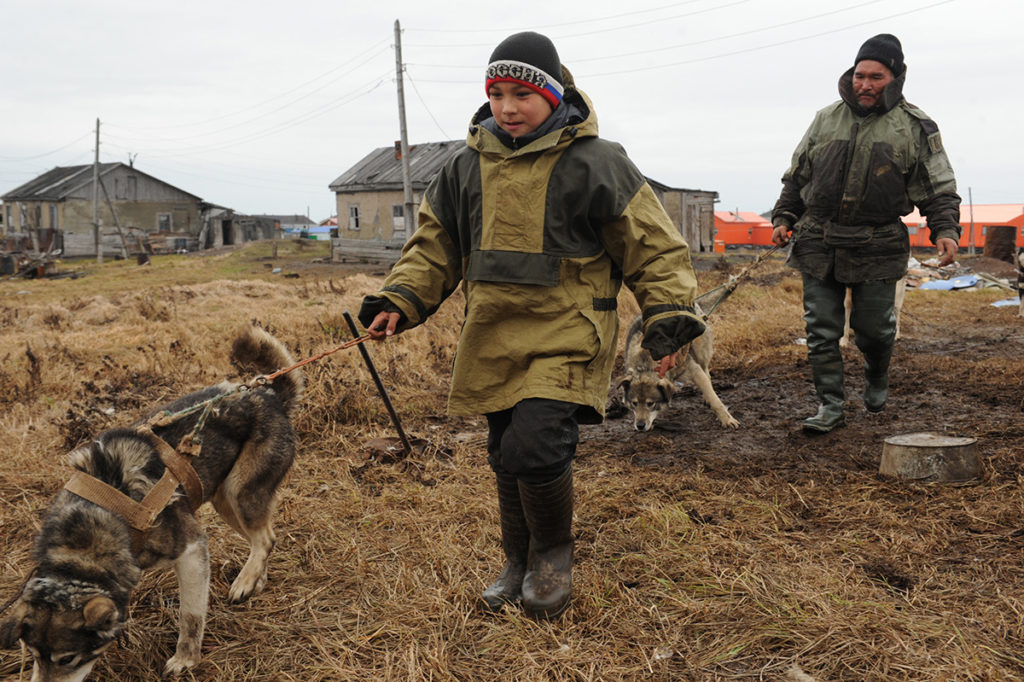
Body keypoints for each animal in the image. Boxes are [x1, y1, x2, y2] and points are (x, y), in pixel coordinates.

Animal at [0, 325, 303, 681]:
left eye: (68, 659)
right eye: (32, 654)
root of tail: (268, 394)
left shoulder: (192, 549)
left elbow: (191, 616)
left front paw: (185, 659)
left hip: (239, 493)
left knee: (265, 538)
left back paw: (244, 581)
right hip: (223, 501)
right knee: (264, 538)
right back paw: (255, 579)